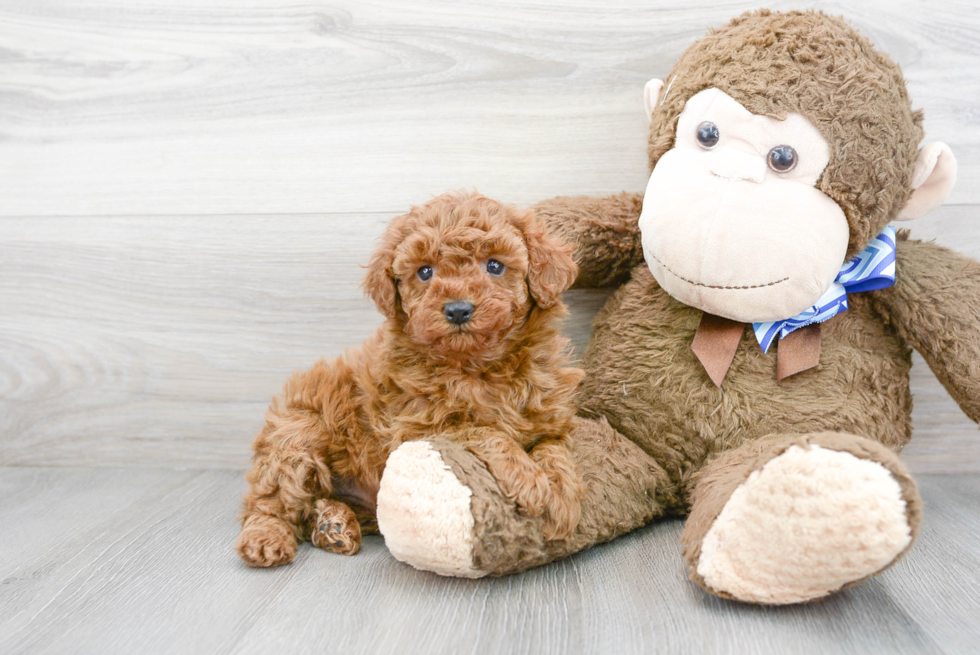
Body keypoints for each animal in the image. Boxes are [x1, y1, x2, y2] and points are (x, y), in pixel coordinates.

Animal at [238, 191, 584, 568]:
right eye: (425, 271)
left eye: (494, 265)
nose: (458, 309)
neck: (475, 367)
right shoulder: (418, 428)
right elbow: (483, 430)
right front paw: (528, 479)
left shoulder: (550, 418)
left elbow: (555, 449)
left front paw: (562, 497)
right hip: (298, 435)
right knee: (269, 500)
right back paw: (266, 537)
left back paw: (333, 524)